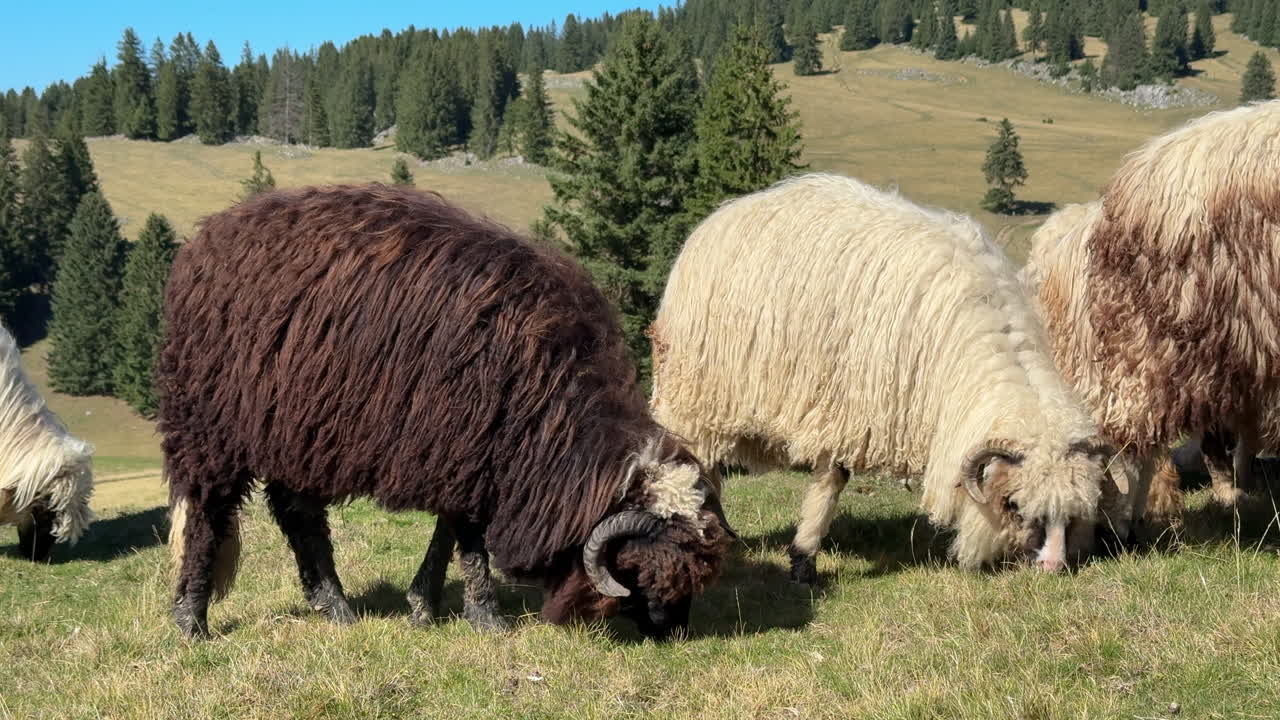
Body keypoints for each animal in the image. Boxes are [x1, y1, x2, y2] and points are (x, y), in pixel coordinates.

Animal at [159, 185, 732, 639]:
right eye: (643, 569)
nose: (675, 635)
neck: (557, 420)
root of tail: (209, 238)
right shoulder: (471, 450)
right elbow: (471, 542)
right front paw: (486, 618)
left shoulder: (467, 458)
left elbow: (450, 532)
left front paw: (423, 606)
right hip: (209, 425)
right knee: (208, 515)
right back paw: (191, 620)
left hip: (294, 434)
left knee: (299, 516)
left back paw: (336, 607)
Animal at [650, 173, 1110, 583]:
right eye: (1013, 505)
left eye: (1071, 514)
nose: (1052, 568)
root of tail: (724, 213)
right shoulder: (842, 406)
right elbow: (831, 482)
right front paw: (804, 561)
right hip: (696, 393)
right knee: (699, 461)